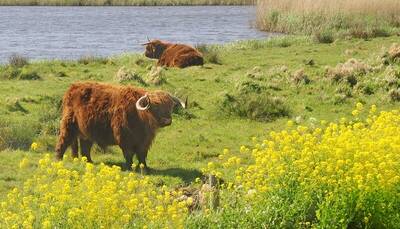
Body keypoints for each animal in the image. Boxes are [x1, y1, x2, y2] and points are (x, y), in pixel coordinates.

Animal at [55, 82, 187, 170]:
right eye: (155, 106)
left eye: (170, 106)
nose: (167, 121)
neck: (140, 116)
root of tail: (73, 87)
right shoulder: (124, 138)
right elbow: (128, 154)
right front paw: (129, 167)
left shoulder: (145, 142)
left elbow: (142, 155)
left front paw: (144, 168)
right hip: (68, 125)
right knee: (63, 142)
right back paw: (58, 160)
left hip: (86, 131)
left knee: (84, 147)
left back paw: (89, 162)